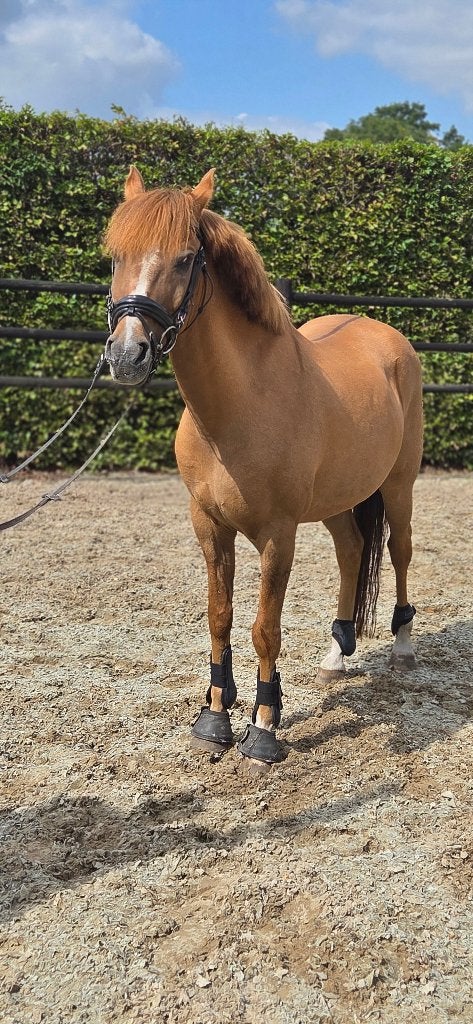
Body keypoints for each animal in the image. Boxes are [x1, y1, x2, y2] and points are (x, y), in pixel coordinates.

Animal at [104, 166, 423, 769]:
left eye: (186, 258)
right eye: (115, 256)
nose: (127, 356)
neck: (241, 404)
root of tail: (385, 334)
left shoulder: (278, 535)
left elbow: (264, 629)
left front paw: (264, 727)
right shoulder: (209, 525)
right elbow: (220, 616)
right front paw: (214, 717)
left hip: (398, 486)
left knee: (398, 552)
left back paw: (403, 646)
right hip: (339, 497)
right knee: (351, 550)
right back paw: (336, 654)